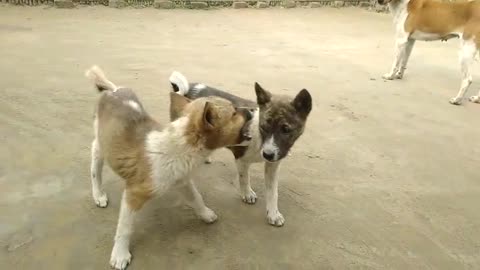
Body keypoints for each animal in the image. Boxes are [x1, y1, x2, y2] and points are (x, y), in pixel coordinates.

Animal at [85, 66, 253, 270]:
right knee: (95, 166)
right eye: (234, 112)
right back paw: (98, 194)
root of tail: (113, 90)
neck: (180, 148)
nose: (253, 109)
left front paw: (205, 214)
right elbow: (124, 227)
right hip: (101, 144)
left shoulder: (182, 180)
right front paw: (120, 254)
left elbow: (196, 198)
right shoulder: (133, 194)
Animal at [169, 71, 312, 226]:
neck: (259, 138)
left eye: (286, 129)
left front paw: (273, 213)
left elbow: (273, 191)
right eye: (263, 127)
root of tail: (190, 87)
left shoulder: (273, 164)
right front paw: (247, 194)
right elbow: (244, 178)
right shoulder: (241, 158)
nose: (267, 154)